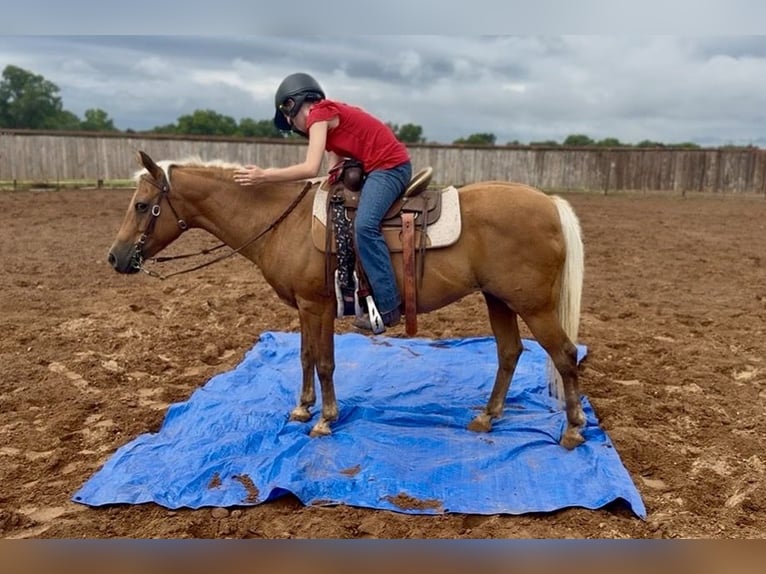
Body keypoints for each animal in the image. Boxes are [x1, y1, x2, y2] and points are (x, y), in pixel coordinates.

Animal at [108, 151, 587, 449]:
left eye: (142, 205)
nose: (115, 257)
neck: (285, 221)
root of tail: (550, 204)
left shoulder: (317, 305)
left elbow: (323, 361)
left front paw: (325, 418)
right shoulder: (305, 307)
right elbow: (304, 356)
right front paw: (302, 408)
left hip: (535, 306)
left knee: (565, 355)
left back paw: (573, 430)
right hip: (498, 299)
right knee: (509, 353)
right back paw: (488, 416)